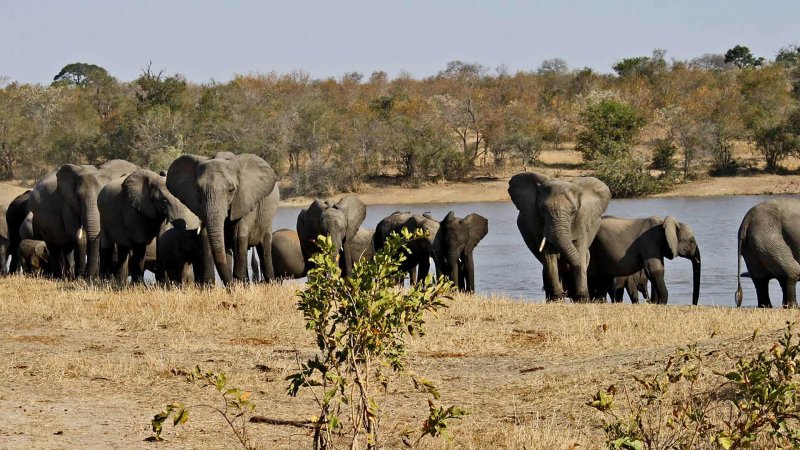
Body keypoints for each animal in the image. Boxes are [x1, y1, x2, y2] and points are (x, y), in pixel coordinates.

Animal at [166, 152, 278, 284]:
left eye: (231, 190)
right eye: (198, 190)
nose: (230, 284)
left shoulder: (245, 200)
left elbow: (239, 236)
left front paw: (238, 284)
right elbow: (205, 236)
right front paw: (212, 285)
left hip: (267, 219)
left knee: (264, 248)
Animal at [510, 172, 608, 302]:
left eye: (573, 212)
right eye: (542, 210)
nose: (568, 293)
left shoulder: (581, 220)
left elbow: (579, 251)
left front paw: (582, 299)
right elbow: (549, 256)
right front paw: (557, 299)